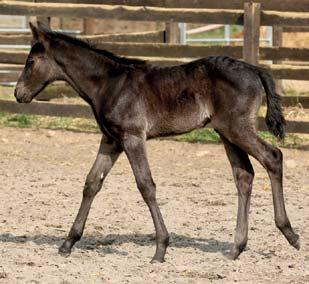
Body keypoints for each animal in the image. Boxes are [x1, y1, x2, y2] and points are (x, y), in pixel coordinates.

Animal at [14, 22, 298, 264]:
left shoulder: (132, 137)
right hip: (226, 132)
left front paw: (161, 248)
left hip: (237, 128)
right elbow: (92, 183)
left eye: (30, 61)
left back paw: (290, 234)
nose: (18, 94)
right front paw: (67, 243)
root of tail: (256, 70)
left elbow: (145, 185)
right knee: (244, 175)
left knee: (273, 157)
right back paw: (236, 248)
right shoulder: (111, 140)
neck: (110, 84)